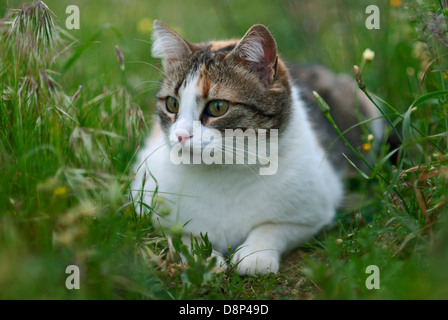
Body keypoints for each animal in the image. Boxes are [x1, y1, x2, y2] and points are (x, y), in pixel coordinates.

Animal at [130, 20, 382, 276]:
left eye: (218, 107)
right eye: (172, 104)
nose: (181, 135)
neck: (222, 174)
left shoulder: (315, 211)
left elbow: (272, 227)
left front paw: (256, 254)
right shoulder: (146, 204)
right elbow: (179, 233)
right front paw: (200, 257)